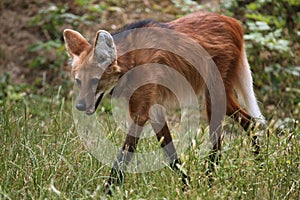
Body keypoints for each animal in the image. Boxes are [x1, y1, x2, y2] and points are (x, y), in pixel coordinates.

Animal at [62, 11, 264, 194]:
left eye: (95, 81)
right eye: (78, 81)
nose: (79, 106)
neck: (130, 62)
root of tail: (233, 22)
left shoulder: (141, 113)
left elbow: (123, 155)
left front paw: (107, 192)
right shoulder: (153, 110)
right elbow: (171, 153)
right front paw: (187, 186)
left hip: (213, 94)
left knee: (219, 140)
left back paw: (211, 183)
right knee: (251, 122)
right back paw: (259, 166)